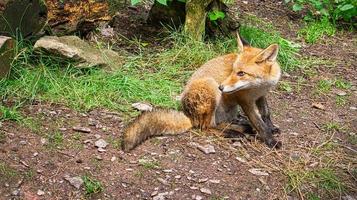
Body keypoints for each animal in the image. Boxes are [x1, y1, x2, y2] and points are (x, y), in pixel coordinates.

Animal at [122, 33, 280, 152]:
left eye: (241, 73)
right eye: (233, 70)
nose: (221, 87)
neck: (258, 86)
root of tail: (189, 116)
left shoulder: (261, 95)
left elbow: (266, 113)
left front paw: (271, 128)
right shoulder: (245, 100)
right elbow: (258, 122)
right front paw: (270, 140)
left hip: (230, 109)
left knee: (220, 123)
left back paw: (241, 126)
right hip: (211, 88)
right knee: (206, 127)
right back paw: (235, 133)